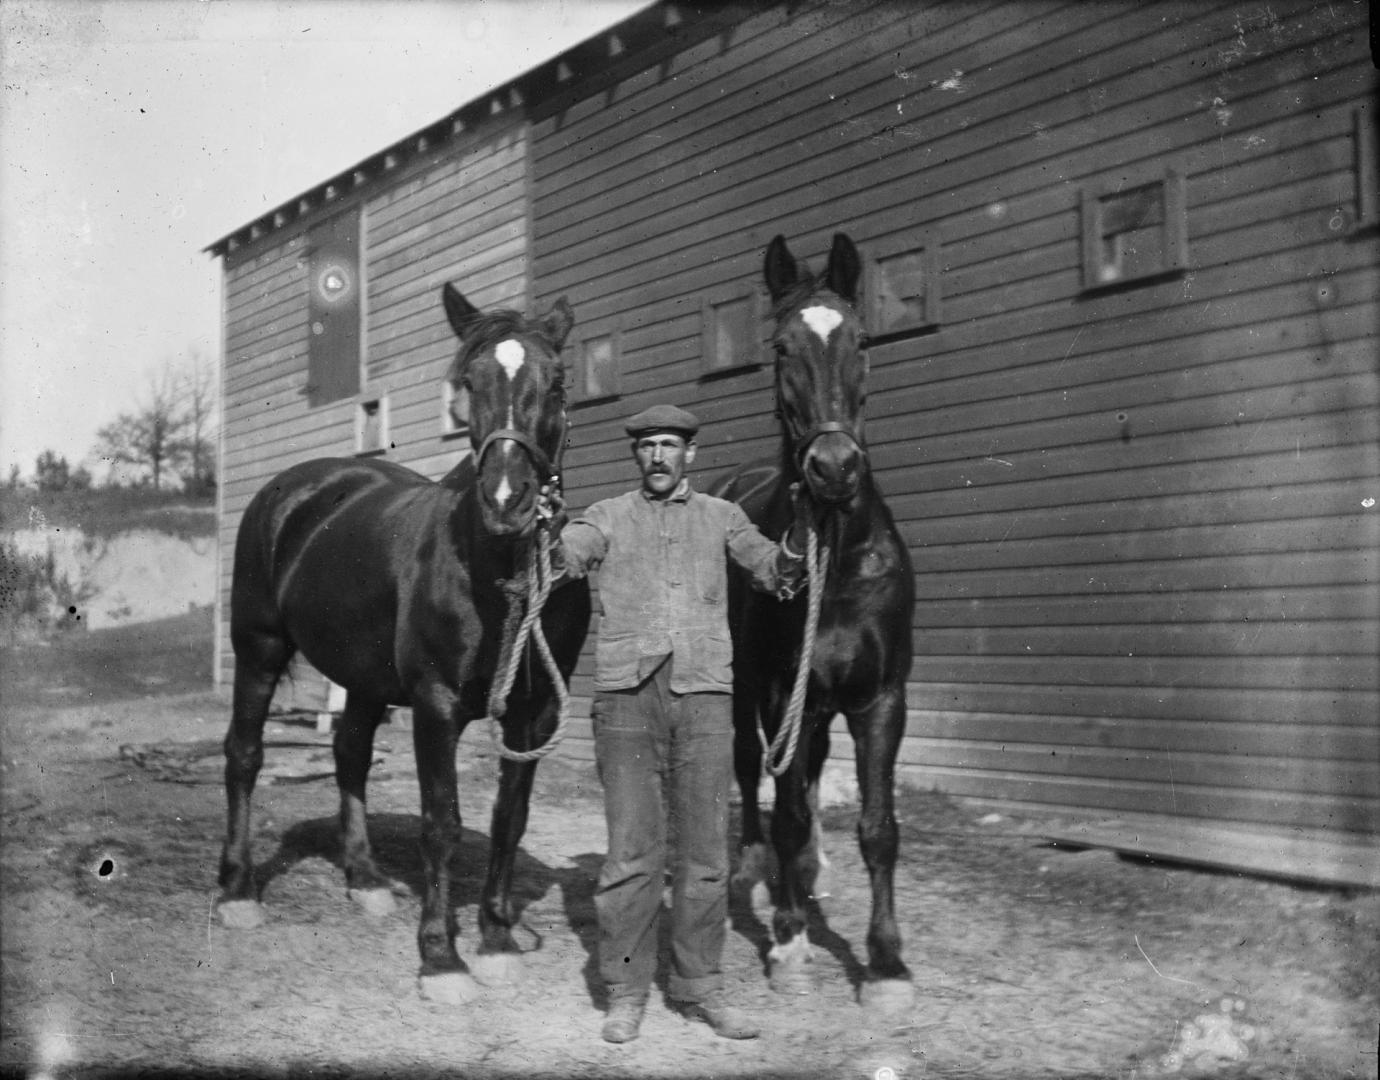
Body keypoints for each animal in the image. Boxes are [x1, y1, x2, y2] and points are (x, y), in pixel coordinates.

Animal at [218, 281, 590, 1004]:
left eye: (559, 381)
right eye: (468, 382)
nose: (508, 500)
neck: (496, 565)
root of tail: (293, 488)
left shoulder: (535, 714)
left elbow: (509, 817)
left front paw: (496, 940)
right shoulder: (436, 704)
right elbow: (441, 822)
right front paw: (441, 957)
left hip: (361, 676)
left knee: (350, 755)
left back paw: (363, 879)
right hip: (258, 649)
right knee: (244, 755)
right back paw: (237, 890)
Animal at [712, 231, 916, 1009]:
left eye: (862, 339)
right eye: (779, 346)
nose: (833, 467)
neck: (840, 554)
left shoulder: (881, 698)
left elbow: (879, 827)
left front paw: (887, 965)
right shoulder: (779, 694)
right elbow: (789, 809)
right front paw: (790, 938)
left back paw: (812, 871)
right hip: (748, 694)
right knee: (752, 772)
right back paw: (754, 868)